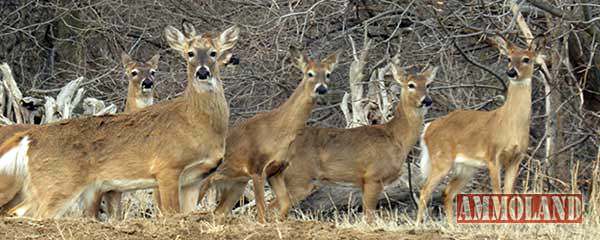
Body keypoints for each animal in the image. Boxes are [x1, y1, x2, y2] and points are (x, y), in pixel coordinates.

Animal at [0, 24, 237, 218]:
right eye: (190, 53)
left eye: (214, 53)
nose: (202, 72)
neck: (196, 124)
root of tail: (29, 138)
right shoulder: (167, 167)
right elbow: (170, 213)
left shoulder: (194, 179)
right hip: (57, 182)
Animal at [193, 46, 340, 222]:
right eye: (309, 73)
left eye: (328, 74)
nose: (322, 88)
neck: (278, 132)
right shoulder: (256, 168)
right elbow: (262, 212)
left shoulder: (276, 171)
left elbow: (284, 204)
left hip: (236, 184)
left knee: (218, 211)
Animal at [270, 63, 434, 219]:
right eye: (411, 85)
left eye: (428, 85)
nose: (427, 100)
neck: (395, 137)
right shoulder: (373, 176)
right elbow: (369, 217)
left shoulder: (364, 182)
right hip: (298, 177)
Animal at [418, 36, 544, 224]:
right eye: (508, 58)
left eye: (526, 59)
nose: (511, 72)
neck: (510, 125)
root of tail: (427, 129)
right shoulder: (493, 156)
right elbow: (497, 194)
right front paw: (498, 224)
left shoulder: (516, 158)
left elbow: (508, 194)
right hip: (441, 159)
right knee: (424, 191)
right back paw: (418, 224)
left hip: (465, 168)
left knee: (447, 192)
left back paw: (451, 226)